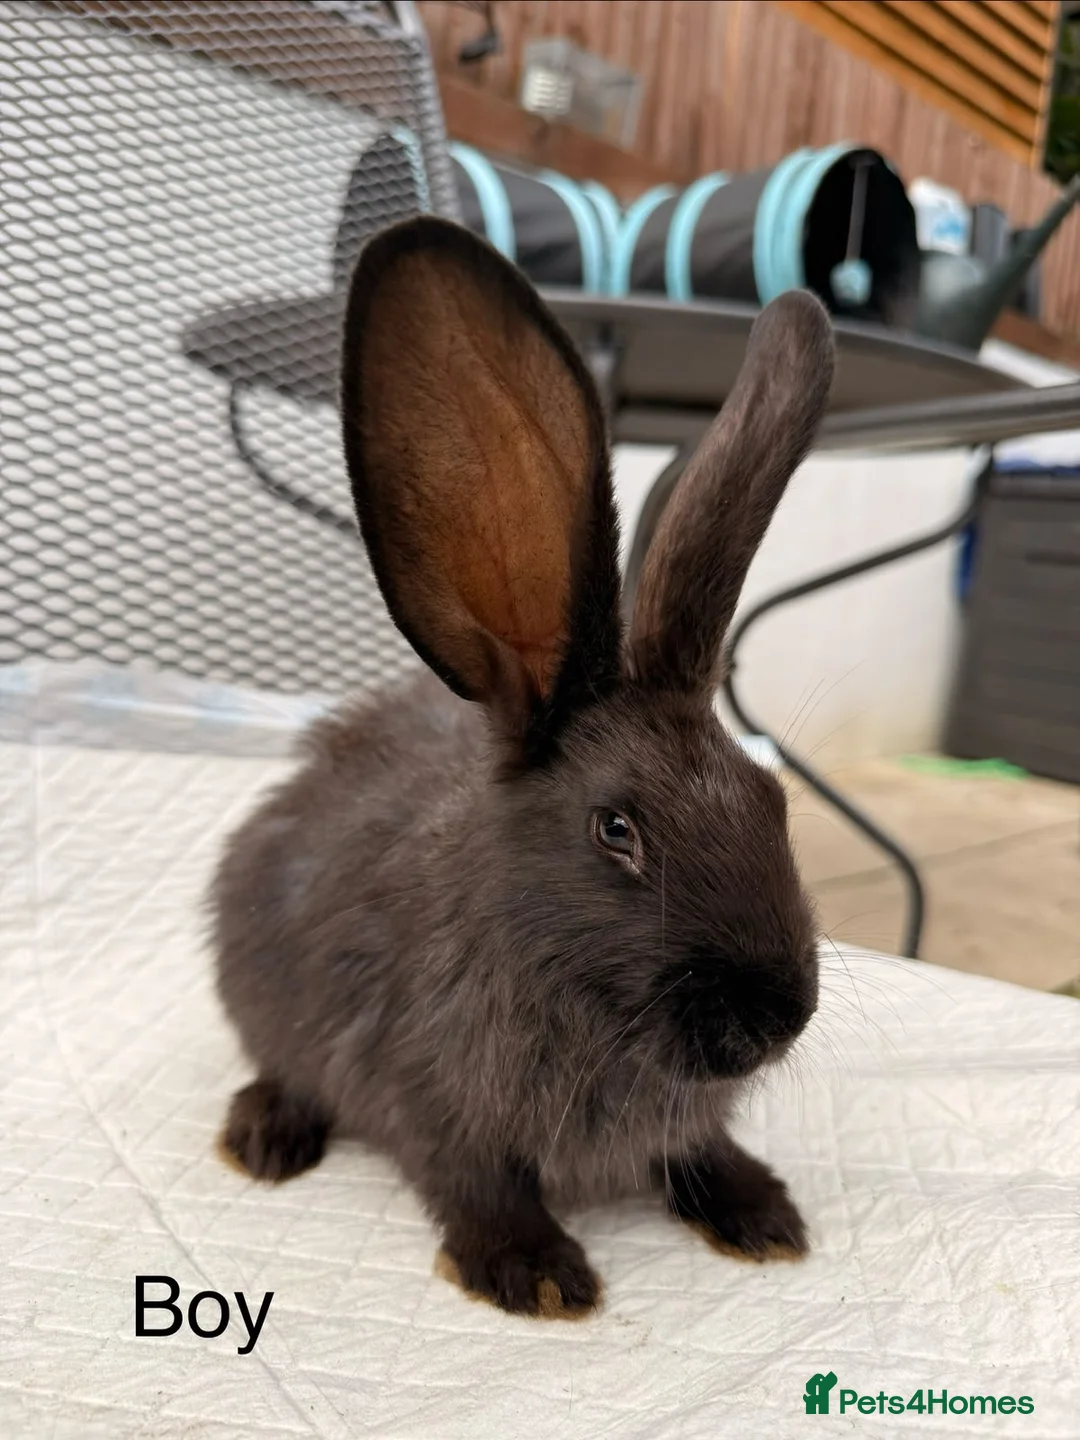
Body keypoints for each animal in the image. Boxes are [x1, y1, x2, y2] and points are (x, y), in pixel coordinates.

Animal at [211, 215, 835, 1318]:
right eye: (615, 829)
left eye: (773, 800)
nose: (778, 1018)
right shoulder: (423, 1091)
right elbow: (472, 1176)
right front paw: (537, 1275)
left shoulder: (684, 1116)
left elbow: (698, 1147)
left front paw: (762, 1215)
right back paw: (265, 1137)